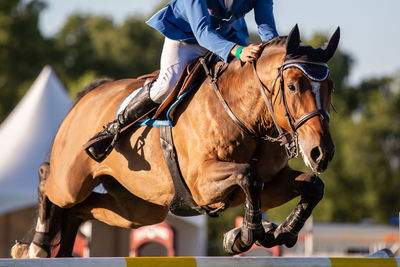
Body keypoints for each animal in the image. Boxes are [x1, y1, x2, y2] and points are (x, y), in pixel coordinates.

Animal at [10, 24, 340, 258]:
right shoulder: (201, 182)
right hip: (72, 181)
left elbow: (313, 186)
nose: (321, 153)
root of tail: (88, 96)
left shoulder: (272, 184)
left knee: (81, 209)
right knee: (49, 181)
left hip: (138, 209)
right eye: (293, 86)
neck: (245, 116)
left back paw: (62, 251)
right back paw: (36, 247)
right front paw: (243, 237)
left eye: (331, 87)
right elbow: (249, 176)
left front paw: (280, 232)